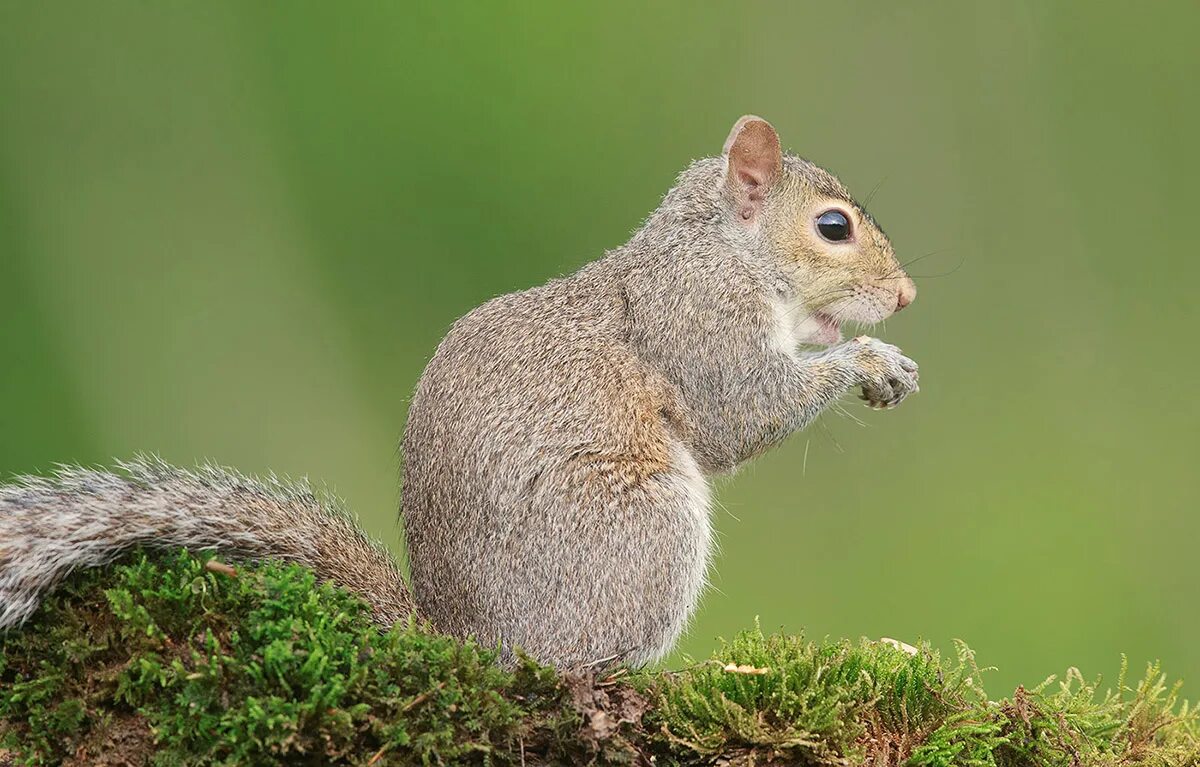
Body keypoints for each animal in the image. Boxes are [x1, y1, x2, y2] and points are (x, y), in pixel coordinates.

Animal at [0, 115, 916, 672]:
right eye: (833, 227)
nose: (906, 296)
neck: (721, 248)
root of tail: (468, 641)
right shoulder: (698, 322)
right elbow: (741, 413)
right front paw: (869, 358)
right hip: (644, 527)